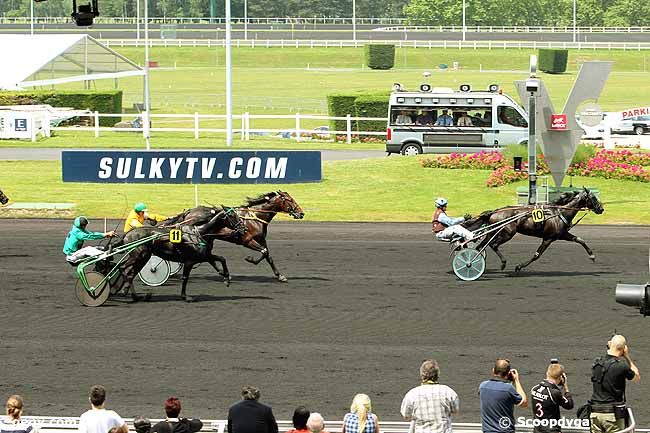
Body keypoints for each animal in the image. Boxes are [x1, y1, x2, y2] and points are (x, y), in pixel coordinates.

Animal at [117, 205, 247, 300]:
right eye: (232, 215)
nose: (244, 228)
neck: (199, 233)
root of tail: (127, 234)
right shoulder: (190, 260)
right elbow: (185, 278)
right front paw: (185, 296)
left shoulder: (204, 255)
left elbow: (221, 258)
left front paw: (226, 278)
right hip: (139, 255)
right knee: (124, 268)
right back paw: (125, 290)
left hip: (142, 257)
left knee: (130, 272)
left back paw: (134, 295)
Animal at [162, 191, 304, 282]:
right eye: (290, 200)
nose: (301, 213)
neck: (255, 217)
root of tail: (189, 212)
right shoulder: (247, 240)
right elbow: (263, 252)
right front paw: (250, 259)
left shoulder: (261, 239)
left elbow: (268, 255)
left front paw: (280, 276)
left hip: (209, 238)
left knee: (209, 257)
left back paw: (223, 273)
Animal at [460, 187, 604, 272]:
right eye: (593, 197)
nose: (601, 209)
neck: (559, 212)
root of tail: (495, 211)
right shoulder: (548, 238)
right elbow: (537, 255)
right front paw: (519, 267)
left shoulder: (562, 234)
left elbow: (580, 239)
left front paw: (592, 256)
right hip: (507, 233)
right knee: (493, 245)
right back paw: (501, 263)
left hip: (494, 232)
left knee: (481, 246)